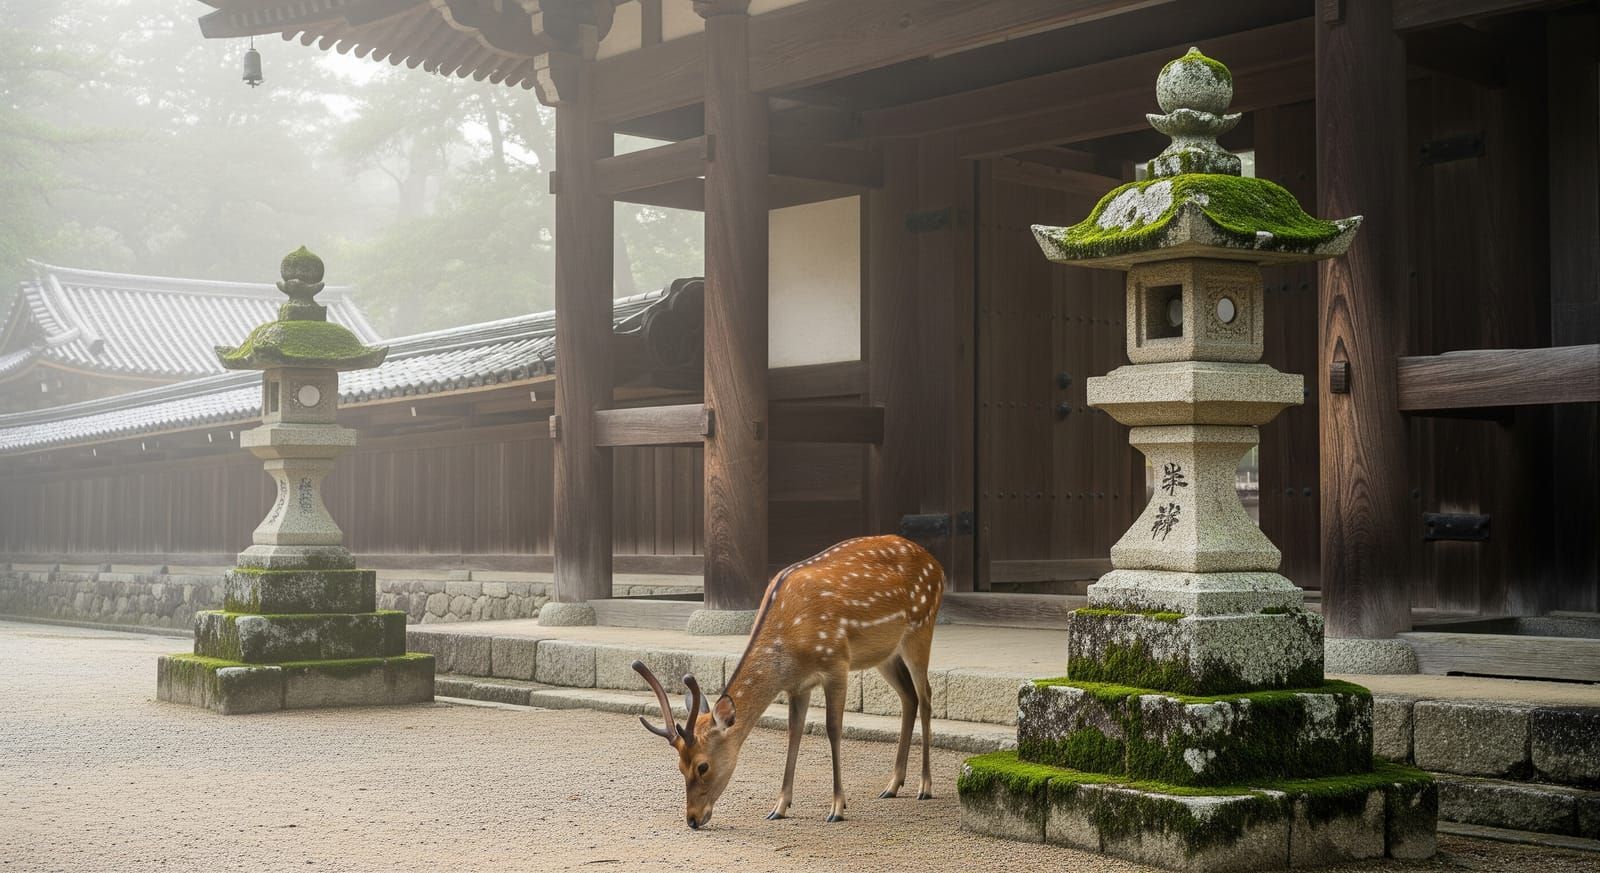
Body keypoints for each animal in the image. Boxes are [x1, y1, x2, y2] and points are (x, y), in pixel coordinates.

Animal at [633, 534, 944, 829]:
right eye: (679, 766)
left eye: (702, 766)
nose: (693, 819)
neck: (789, 647)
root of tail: (936, 564)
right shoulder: (798, 684)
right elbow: (794, 732)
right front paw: (779, 807)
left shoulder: (836, 662)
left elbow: (833, 729)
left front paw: (837, 808)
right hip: (885, 654)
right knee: (909, 697)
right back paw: (892, 785)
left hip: (921, 627)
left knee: (926, 696)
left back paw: (925, 786)